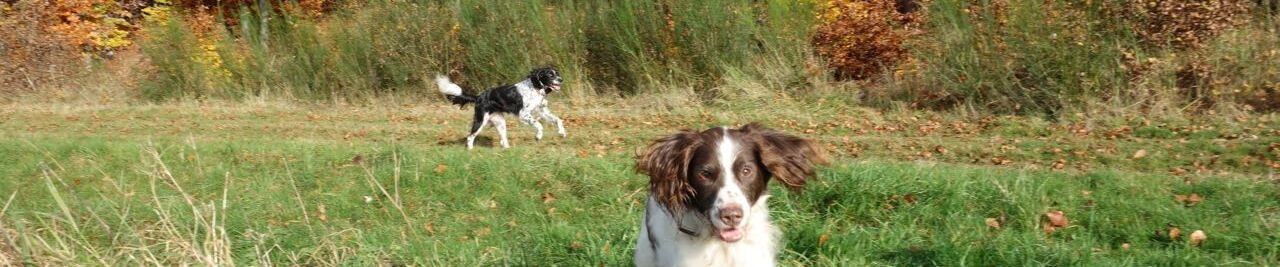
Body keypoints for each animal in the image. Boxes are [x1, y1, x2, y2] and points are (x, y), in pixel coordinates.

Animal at [435, 66, 565, 148]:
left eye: (557, 74)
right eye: (550, 74)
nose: (561, 80)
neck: (535, 87)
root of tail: (479, 96)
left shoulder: (542, 111)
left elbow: (558, 119)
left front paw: (562, 132)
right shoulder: (523, 114)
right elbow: (539, 124)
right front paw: (538, 136)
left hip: (500, 122)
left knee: (503, 138)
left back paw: (507, 150)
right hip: (481, 120)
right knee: (470, 137)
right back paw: (470, 151)